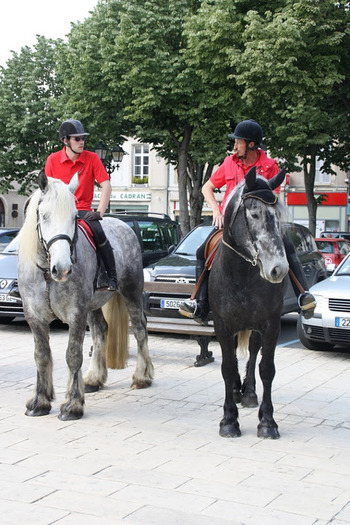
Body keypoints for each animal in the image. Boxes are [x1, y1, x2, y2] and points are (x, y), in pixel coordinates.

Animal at [17, 172, 152, 422]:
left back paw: (142, 377)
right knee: (101, 330)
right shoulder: (34, 316)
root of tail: (123, 224)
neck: (46, 273)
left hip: (131, 292)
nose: (62, 268)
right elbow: (41, 355)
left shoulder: (76, 314)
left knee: (140, 328)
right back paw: (93, 379)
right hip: (94, 305)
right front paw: (40, 402)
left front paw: (72, 405)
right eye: (45, 216)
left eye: (73, 218)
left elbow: (72, 355)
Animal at [209, 168, 288, 438]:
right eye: (254, 214)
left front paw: (268, 422)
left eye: (279, 215)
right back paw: (236, 390)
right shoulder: (222, 325)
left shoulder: (271, 325)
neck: (241, 274)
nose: (278, 269)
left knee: (253, 352)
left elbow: (267, 369)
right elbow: (227, 366)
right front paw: (229, 420)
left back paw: (249, 393)